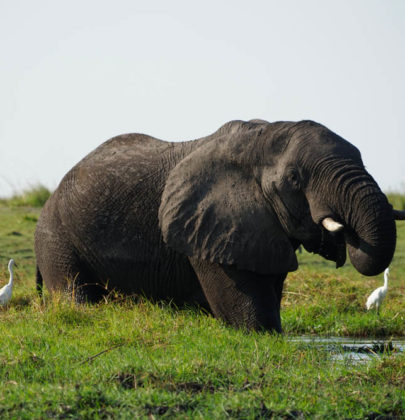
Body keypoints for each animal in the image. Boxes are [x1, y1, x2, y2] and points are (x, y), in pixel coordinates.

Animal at [34, 120, 404, 334]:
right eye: (294, 178)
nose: (343, 233)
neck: (262, 137)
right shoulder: (211, 224)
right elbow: (250, 314)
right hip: (55, 236)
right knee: (75, 295)